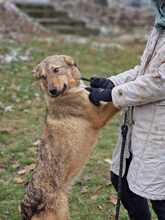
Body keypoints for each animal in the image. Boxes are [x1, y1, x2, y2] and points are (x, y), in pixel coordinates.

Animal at [21, 55, 118, 220]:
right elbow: (114, 101)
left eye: (56, 70)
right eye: (43, 77)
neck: (70, 92)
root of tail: (28, 209)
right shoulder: (99, 117)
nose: (52, 91)